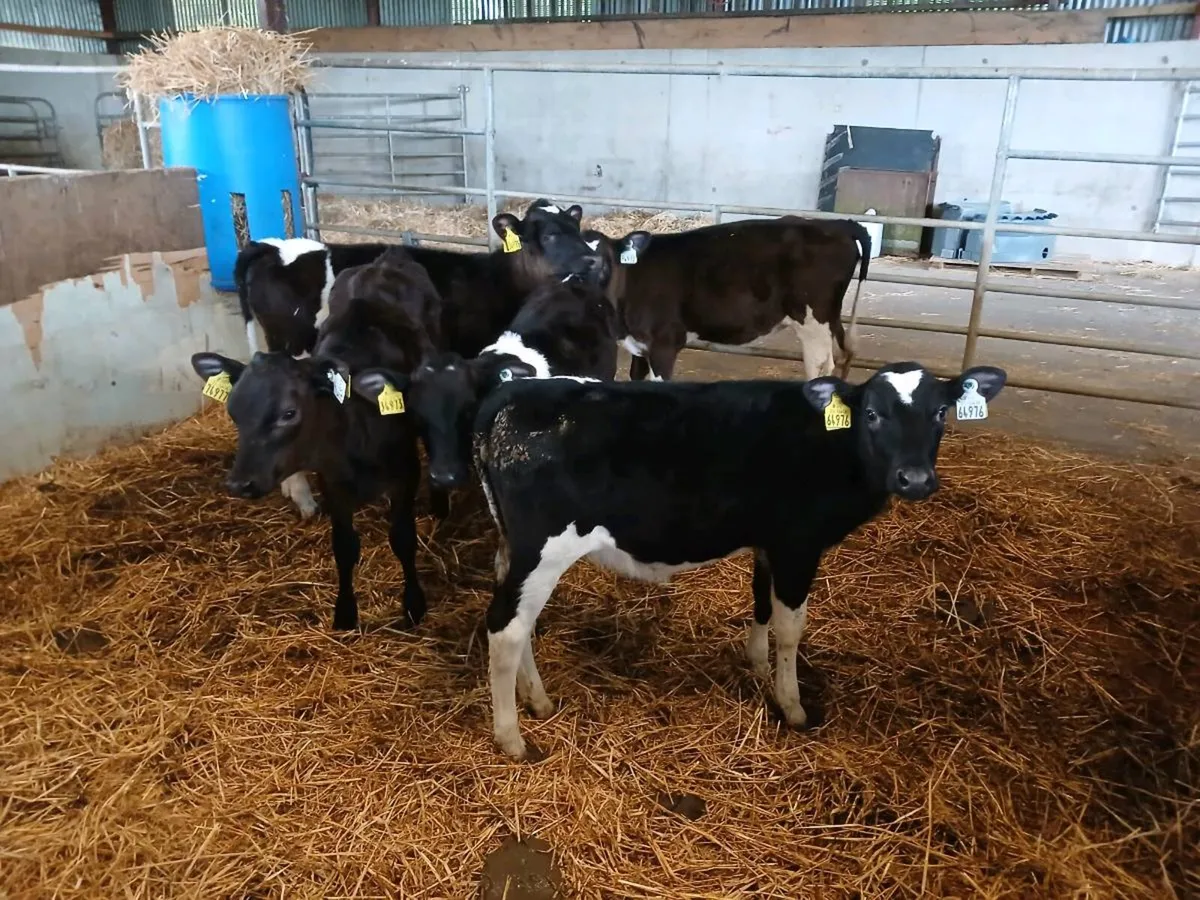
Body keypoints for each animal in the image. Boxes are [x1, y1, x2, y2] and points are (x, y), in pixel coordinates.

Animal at [190, 250, 444, 632]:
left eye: (289, 412)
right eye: (233, 411)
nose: (239, 483)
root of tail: (386, 258)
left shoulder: (406, 471)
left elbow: (402, 538)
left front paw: (414, 605)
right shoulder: (332, 480)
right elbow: (344, 546)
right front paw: (345, 613)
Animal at [467, 360, 1007, 758]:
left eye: (941, 412)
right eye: (873, 414)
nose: (914, 478)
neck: (832, 445)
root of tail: (514, 394)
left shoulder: (768, 542)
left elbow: (761, 604)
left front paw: (759, 666)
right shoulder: (797, 544)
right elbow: (791, 626)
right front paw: (792, 705)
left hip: (515, 549)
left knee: (517, 621)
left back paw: (538, 701)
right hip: (543, 549)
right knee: (506, 628)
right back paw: (512, 737)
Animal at [609, 216, 871, 384]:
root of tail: (835, 224)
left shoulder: (663, 344)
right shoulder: (639, 344)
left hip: (813, 322)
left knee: (820, 366)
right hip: (830, 319)